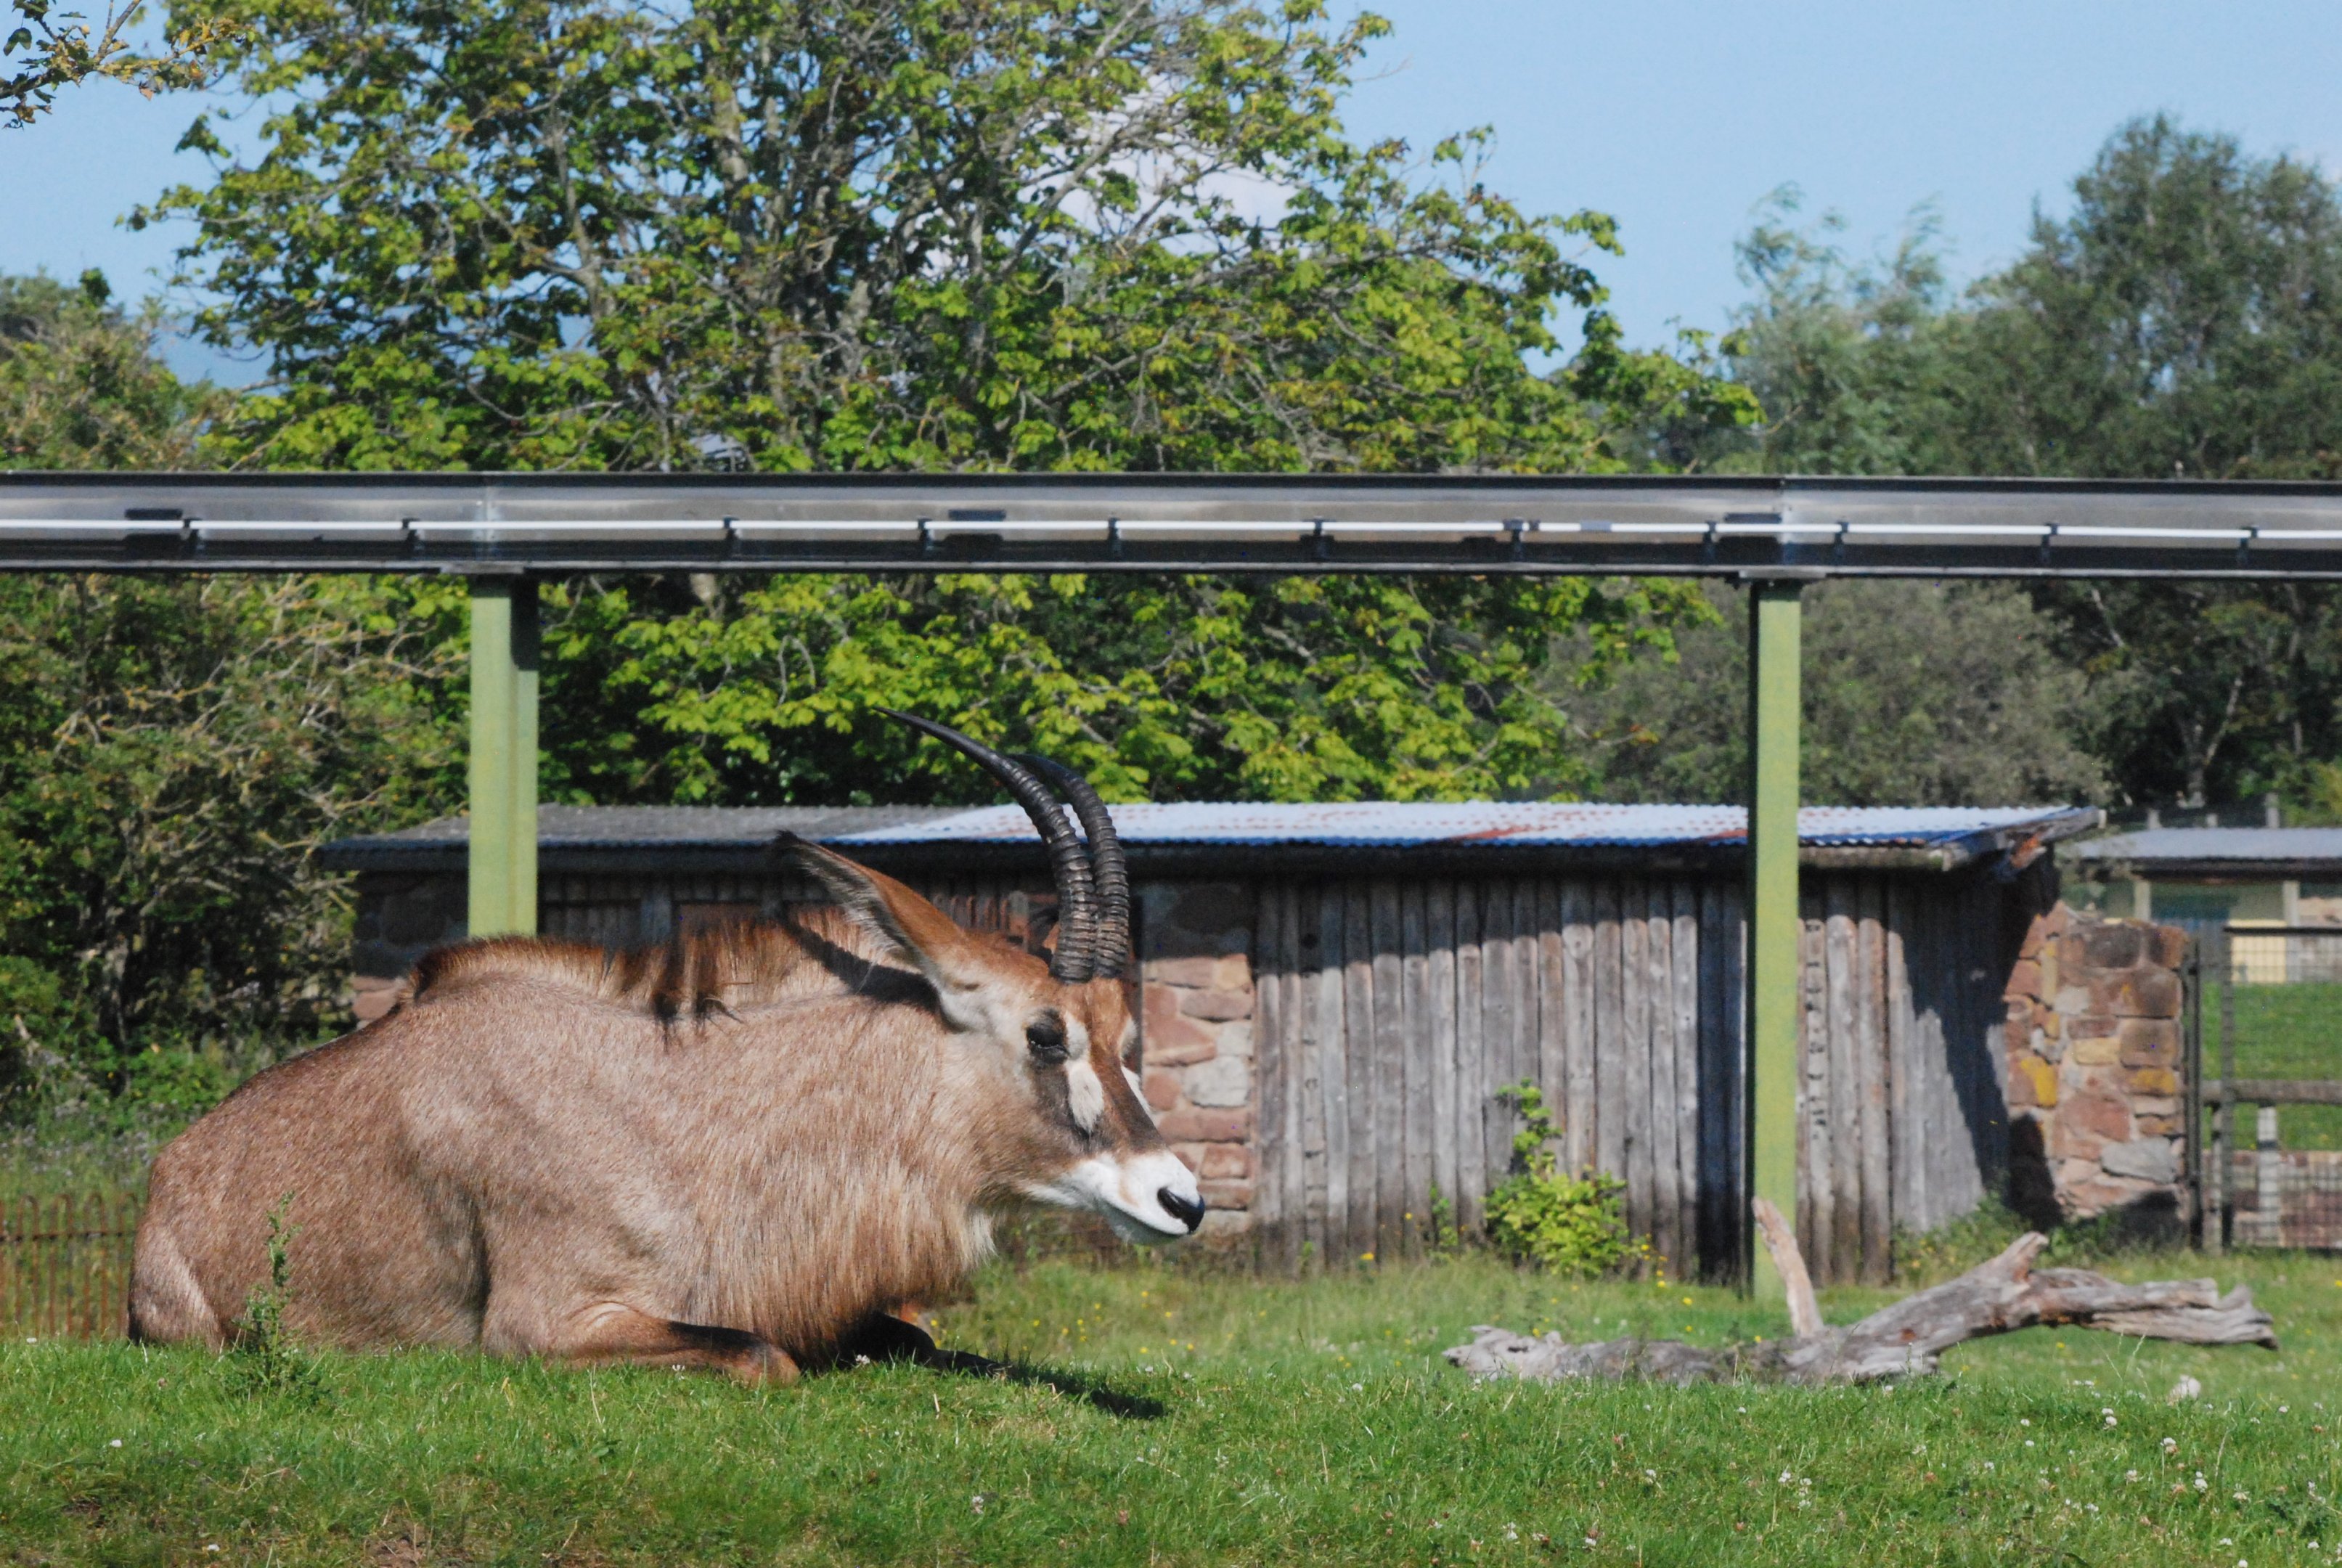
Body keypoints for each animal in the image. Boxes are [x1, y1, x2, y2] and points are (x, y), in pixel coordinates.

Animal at [127, 715, 1203, 1382]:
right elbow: (763, 1355)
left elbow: (920, 1341)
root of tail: (171, 1170)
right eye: (1043, 1032)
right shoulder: (548, 1325)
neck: (682, 1112)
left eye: (1126, 1034)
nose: (1180, 1201)